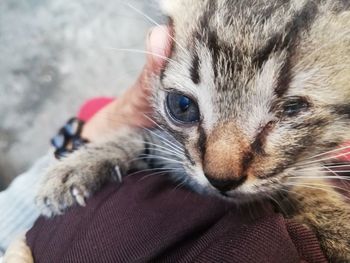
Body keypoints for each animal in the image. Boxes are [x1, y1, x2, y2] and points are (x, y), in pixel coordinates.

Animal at [35, 0, 350, 262]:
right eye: (182, 105)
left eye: (292, 108)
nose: (220, 179)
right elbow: (143, 139)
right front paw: (78, 166)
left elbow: (305, 184)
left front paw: (338, 228)